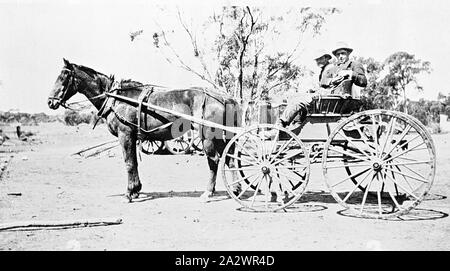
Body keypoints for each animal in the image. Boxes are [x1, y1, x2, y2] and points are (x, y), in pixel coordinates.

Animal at [47, 60, 241, 204]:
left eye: (64, 77)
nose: (50, 101)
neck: (117, 99)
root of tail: (226, 97)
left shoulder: (125, 135)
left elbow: (129, 163)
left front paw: (129, 194)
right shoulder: (133, 137)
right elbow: (134, 163)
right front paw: (136, 190)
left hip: (207, 136)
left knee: (214, 160)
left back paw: (209, 192)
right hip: (221, 137)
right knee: (230, 160)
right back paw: (236, 189)